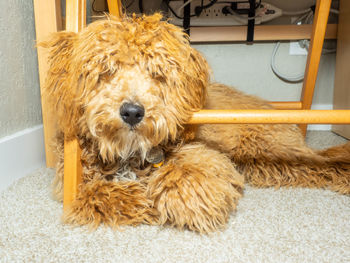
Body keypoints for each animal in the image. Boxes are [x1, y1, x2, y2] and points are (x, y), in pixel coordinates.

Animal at [43, 13, 350, 233]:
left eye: (157, 73)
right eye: (107, 70)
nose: (132, 112)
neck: (129, 154)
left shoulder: (202, 155)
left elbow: (190, 178)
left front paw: (178, 201)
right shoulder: (73, 180)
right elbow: (94, 195)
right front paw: (140, 198)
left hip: (271, 151)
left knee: (323, 164)